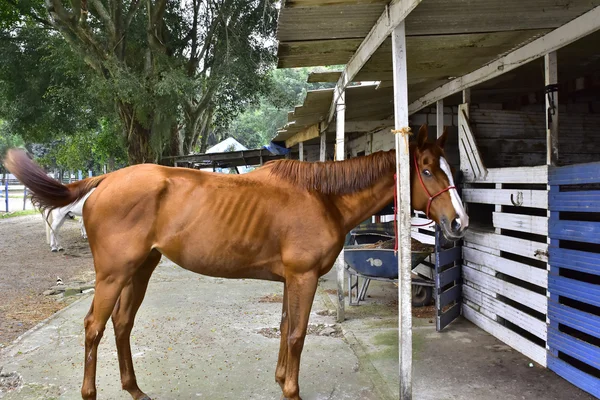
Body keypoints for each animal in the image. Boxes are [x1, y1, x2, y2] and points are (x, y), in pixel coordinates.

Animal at [2, 123, 466, 398]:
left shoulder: (291, 280)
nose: (459, 222)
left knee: (122, 324)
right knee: (94, 328)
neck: (322, 197)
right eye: (427, 170)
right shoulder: (303, 277)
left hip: (141, 269)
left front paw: (280, 380)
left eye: (450, 168)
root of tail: (105, 179)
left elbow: (284, 327)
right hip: (114, 275)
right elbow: (297, 333)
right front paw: (292, 390)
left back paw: (135, 390)